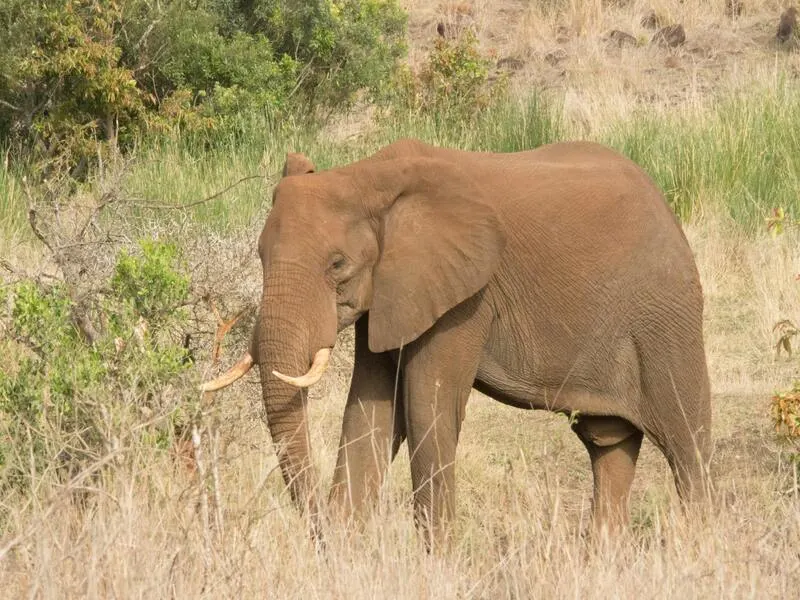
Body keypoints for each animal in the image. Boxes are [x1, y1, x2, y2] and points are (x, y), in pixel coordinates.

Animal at [203, 138, 716, 548]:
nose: (320, 533)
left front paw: (437, 561)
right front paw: (345, 554)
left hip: (665, 319)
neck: (367, 175)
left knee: (687, 446)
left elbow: (428, 405)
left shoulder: (465, 299)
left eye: (337, 265)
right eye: (260, 256)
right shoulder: (393, 292)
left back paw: (695, 551)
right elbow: (370, 409)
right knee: (609, 445)